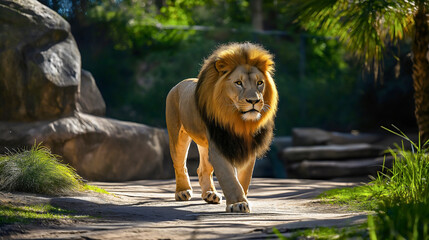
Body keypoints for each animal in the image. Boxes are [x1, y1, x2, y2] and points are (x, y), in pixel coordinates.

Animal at [164, 42, 278, 213]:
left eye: (260, 83)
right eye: (238, 83)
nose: (254, 101)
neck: (239, 121)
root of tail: (180, 83)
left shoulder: (247, 146)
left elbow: (244, 178)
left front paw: (242, 197)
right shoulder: (219, 144)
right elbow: (229, 178)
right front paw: (238, 203)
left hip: (204, 143)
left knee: (203, 169)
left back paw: (210, 194)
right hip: (178, 135)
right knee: (180, 164)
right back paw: (182, 192)